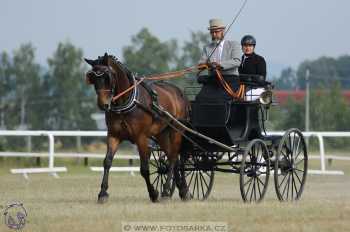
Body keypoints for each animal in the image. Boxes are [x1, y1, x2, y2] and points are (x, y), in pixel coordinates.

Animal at [84, 53, 191, 202]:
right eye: (93, 78)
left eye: (107, 77)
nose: (103, 104)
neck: (128, 101)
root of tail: (179, 92)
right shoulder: (113, 135)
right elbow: (107, 162)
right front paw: (103, 193)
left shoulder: (141, 137)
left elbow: (144, 168)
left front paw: (153, 193)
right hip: (162, 134)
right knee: (172, 157)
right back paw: (182, 190)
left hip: (176, 130)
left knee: (174, 157)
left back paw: (166, 191)